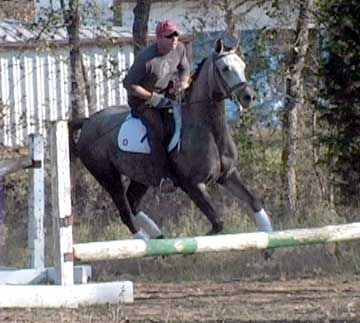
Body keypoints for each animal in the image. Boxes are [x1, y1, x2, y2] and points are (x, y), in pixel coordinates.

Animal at [69, 38, 272, 243]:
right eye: (225, 68)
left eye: (243, 66)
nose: (249, 97)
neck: (208, 129)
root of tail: (88, 122)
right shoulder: (192, 185)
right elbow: (218, 223)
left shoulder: (228, 175)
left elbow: (254, 202)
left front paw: (267, 235)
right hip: (108, 177)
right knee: (125, 211)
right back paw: (146, 240)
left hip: (142, 175)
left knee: (133, 203)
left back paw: (157, 235)